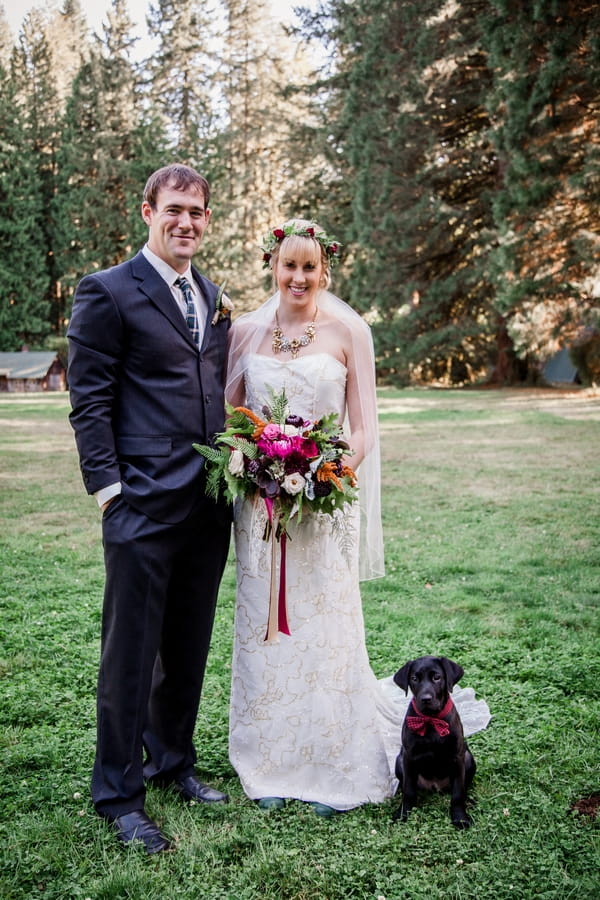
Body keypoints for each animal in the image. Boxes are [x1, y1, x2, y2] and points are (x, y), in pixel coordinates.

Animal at [394, 652, 474, 828]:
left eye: (437, 677)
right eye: (414, 678)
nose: (425, 699)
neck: (431, 720)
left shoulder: (457, 757)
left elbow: (458, 793)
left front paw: (460, 818)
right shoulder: (408, 757)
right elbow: (408, 790)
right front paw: (403, 813)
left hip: (468, 758)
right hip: (399, 760)